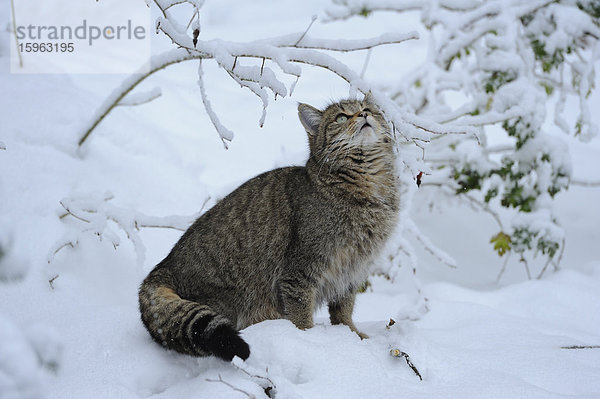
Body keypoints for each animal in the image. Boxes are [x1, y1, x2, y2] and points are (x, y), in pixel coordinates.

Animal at [137, 94, 398, 362]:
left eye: (367, 109)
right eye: (342, 117)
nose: (364, 115)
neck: (369, 188)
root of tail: (161, 270)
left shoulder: (350, 271)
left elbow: (343, 311)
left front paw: (351, 336)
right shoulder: (299, 273)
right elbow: (301, 316)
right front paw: (309, 342)